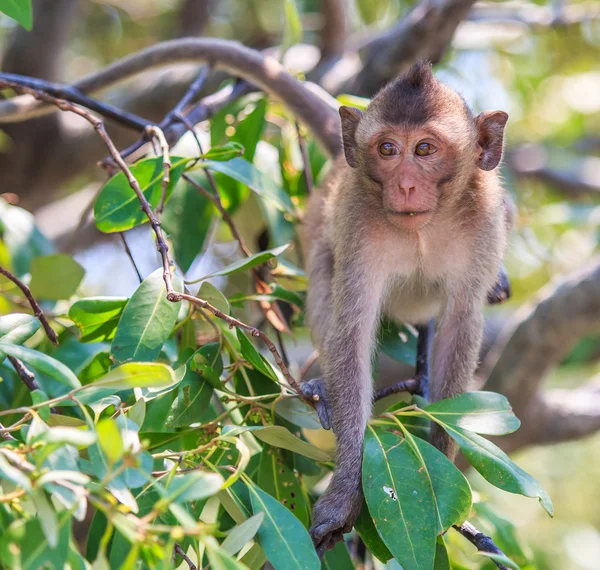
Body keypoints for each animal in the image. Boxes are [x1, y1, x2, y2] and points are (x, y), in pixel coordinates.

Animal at [300, 61, 510, 552]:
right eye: (388, 149)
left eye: (425, 149)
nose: (406, 184)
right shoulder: (357, 219)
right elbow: (352, 332)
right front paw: (344, 496)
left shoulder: (485, 220)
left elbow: (459, 324)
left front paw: (442, 459)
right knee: (323, 273)